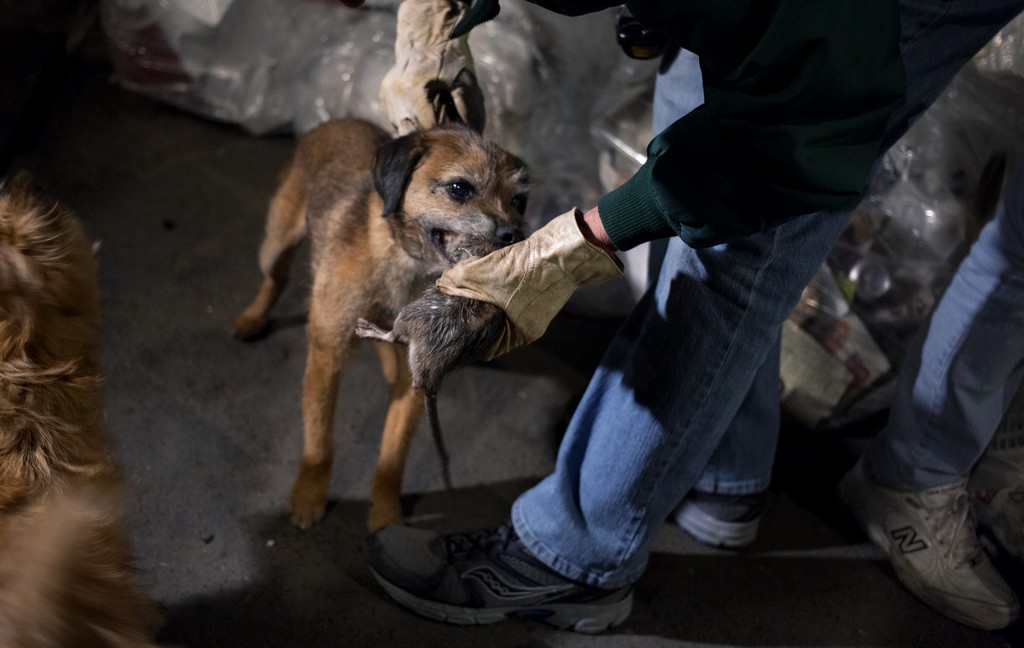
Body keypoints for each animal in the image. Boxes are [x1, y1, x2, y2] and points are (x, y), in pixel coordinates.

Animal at [232, 117, 528, 532]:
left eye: (519, 201)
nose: (514, 235)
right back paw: (253, 316)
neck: (402, 262)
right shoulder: (326, 355)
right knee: (276, 277)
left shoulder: (417, 378)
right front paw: (309, 494)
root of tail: (334, 121)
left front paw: (386, 514)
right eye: (459, 188)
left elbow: (393, 453)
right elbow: (319, 441)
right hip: (275, 242)